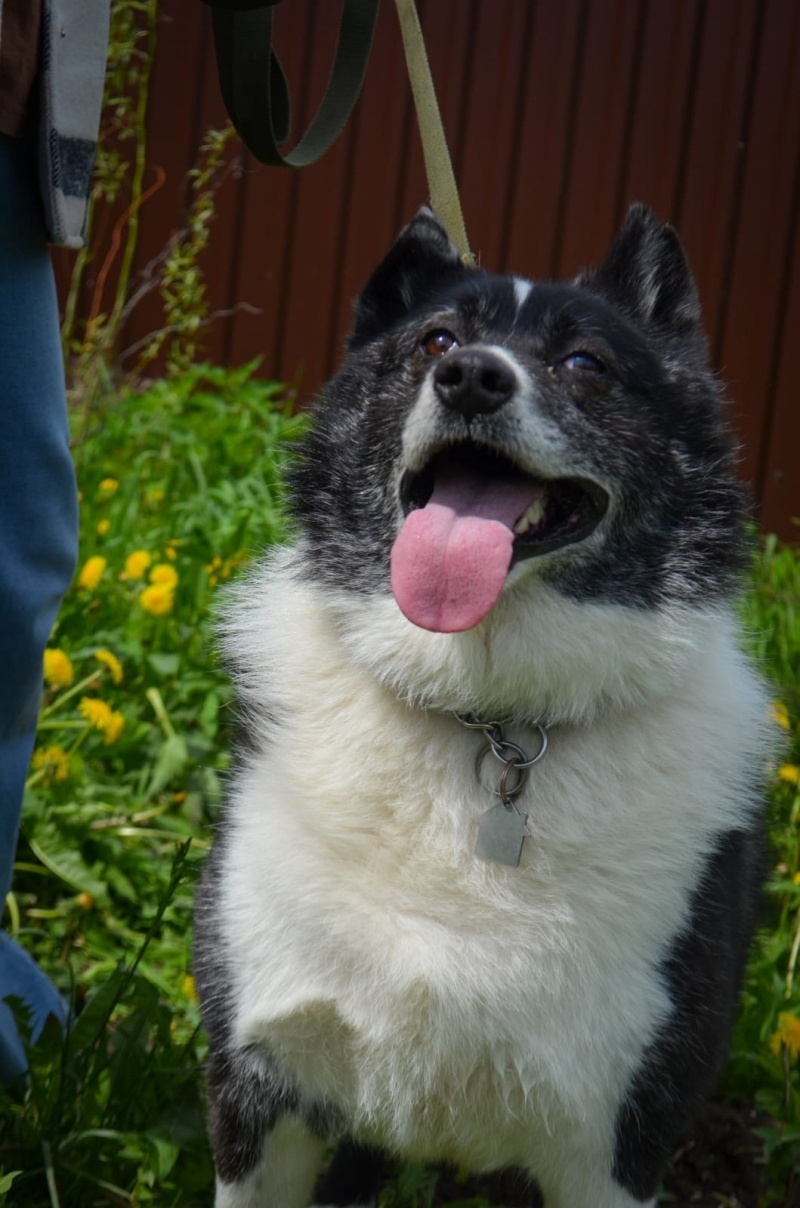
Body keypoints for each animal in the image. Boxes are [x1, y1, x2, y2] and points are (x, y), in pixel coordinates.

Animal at [194, 204, 771, 1208]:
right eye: (435, 340)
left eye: (585, 362)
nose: (469, 377)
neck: (493, 715)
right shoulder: (260, 1088)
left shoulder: (613, 1142)